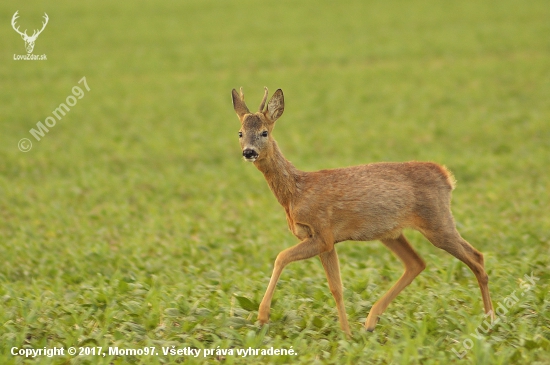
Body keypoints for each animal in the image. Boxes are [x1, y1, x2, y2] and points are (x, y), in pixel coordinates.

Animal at [231, 86, 498, 334]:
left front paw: (262, 317)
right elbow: (336, 287)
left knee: (476, 257)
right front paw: (346, 334)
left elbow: (281, 257)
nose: (249, 152)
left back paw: (490, 319)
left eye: (264, 132)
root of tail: (446, 176)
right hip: (392, 233)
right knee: (417, 263)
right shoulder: (326, 241)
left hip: (437, 221)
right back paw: (370, 321)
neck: (296, 192)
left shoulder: (322, 233)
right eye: (240, 133)